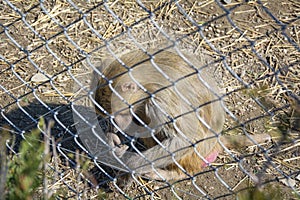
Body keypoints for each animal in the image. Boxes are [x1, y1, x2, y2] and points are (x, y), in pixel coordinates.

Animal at [94, 48, 272, 181]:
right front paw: (111, 137)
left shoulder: (161, 100)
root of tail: (215, 142)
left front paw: (130, 165)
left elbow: (186, 140)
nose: (115, 124)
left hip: (197, 152)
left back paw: (172, 174)